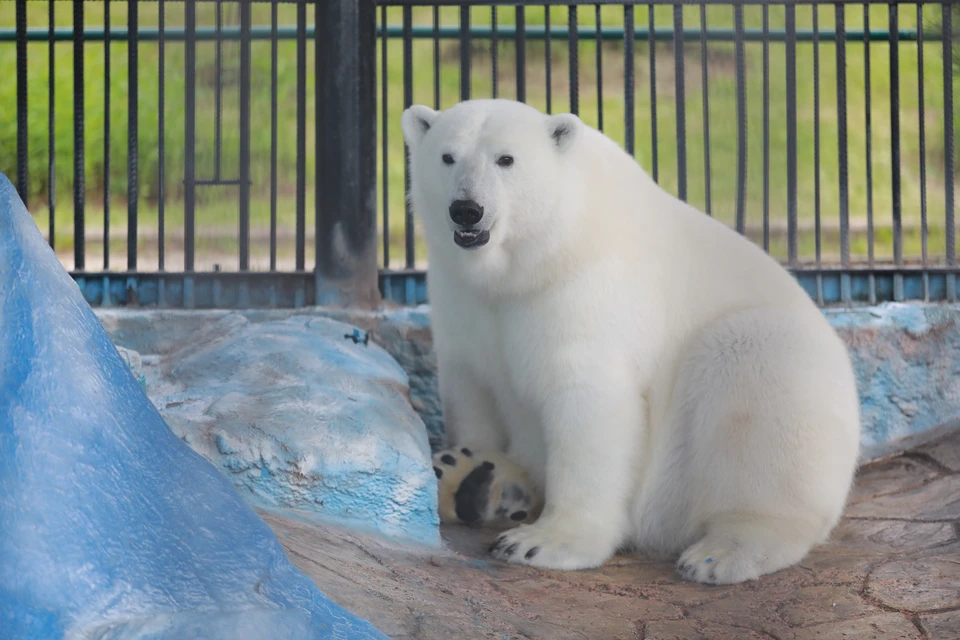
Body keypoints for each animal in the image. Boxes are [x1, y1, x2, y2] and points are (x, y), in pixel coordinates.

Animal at [400, 97, 864, 584]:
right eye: (447, 156)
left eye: (506, 159)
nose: (466, 209)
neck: (539, 256)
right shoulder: (463, 299)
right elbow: (473, 389)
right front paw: (473, 461)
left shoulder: (587, 290)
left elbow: (588, 402)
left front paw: (544, 542)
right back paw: (471, 479)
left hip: (768, 373)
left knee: (752, 379)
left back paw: (722, 552)